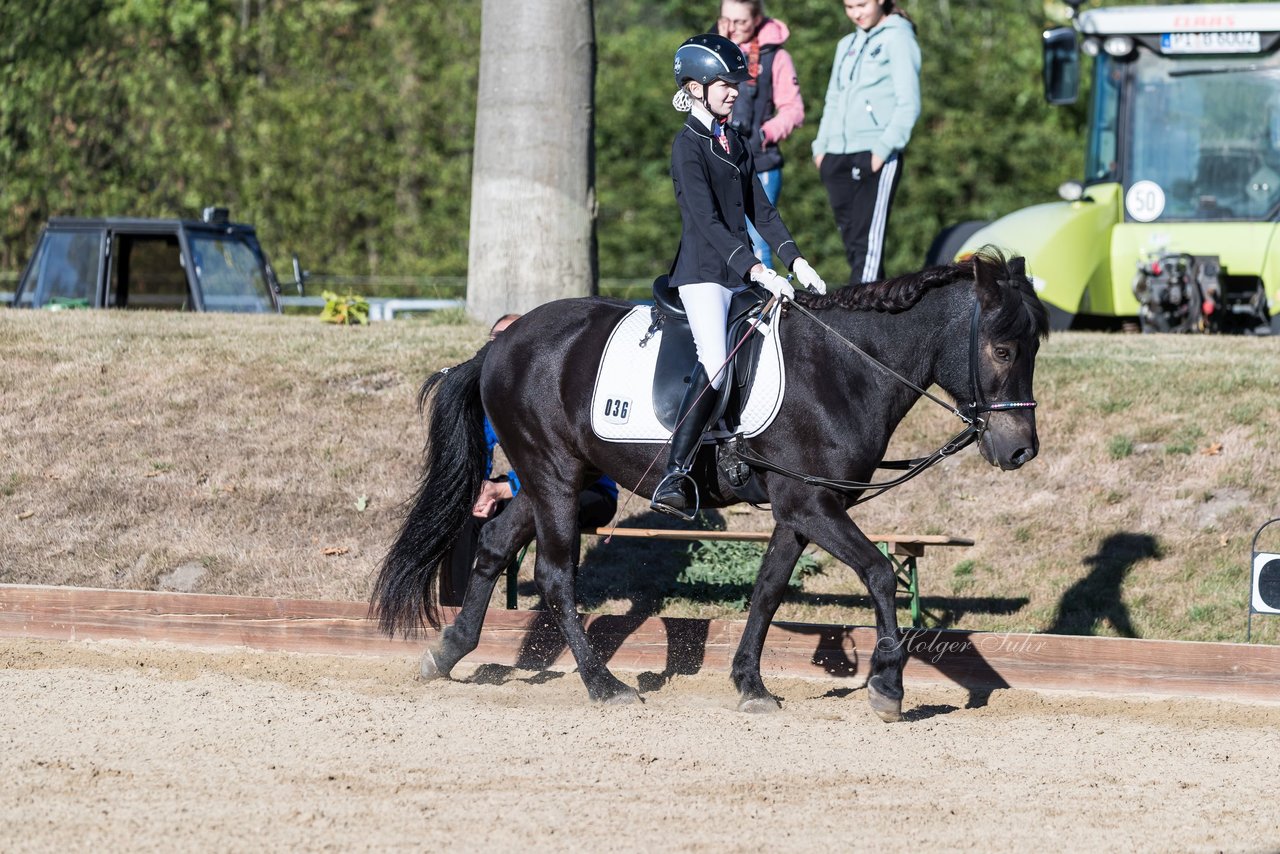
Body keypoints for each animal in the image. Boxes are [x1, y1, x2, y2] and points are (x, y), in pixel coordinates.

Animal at [371, 250, 1049, 727]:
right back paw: (604, 687)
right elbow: (880, 573)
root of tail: (499, 344)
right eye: (1001, 348)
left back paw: (447, 652)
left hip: (551, 479)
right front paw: (887, 686)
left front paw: (750, 684)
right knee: (558, 577)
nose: (1020, 450)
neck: (845, 366)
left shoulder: (798, 508)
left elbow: (768, 592)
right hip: (553, 475)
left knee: (493, 544)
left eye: (1035, 347)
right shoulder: (812, 503)